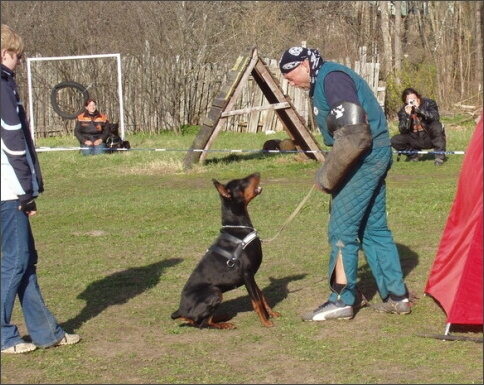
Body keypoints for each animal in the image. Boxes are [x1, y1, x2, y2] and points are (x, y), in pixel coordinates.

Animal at [172, 172, 282, 328]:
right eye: (242, 182)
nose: (258, 173)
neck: (238, 228)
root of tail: (180, 310)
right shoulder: (246, 273)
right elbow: (256, 301)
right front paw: (265, 322)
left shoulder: (251, 275)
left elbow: (261, 296)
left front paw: (271, 314)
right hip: (215, 291)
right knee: (202, 323)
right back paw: (224, 324)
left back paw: (222, 317)